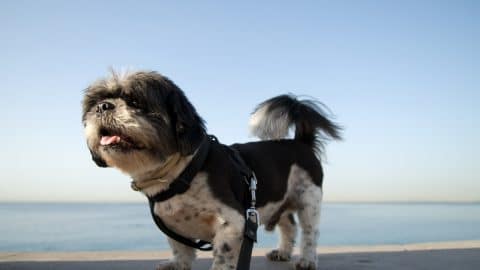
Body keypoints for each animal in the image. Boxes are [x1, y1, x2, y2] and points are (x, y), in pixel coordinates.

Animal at [82, 70, 342, 268]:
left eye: (135, 101)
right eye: (94, 102)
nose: (103, 106)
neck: (182, 173)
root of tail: (301, 142)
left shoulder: (234, 222)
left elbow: (223, 255)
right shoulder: (173, 226)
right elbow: (180, 249)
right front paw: (177, 264)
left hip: (308, 200)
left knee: (309, 232)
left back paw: (307, 259)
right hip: (278, 202)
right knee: (289, 226)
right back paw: (283, 252)